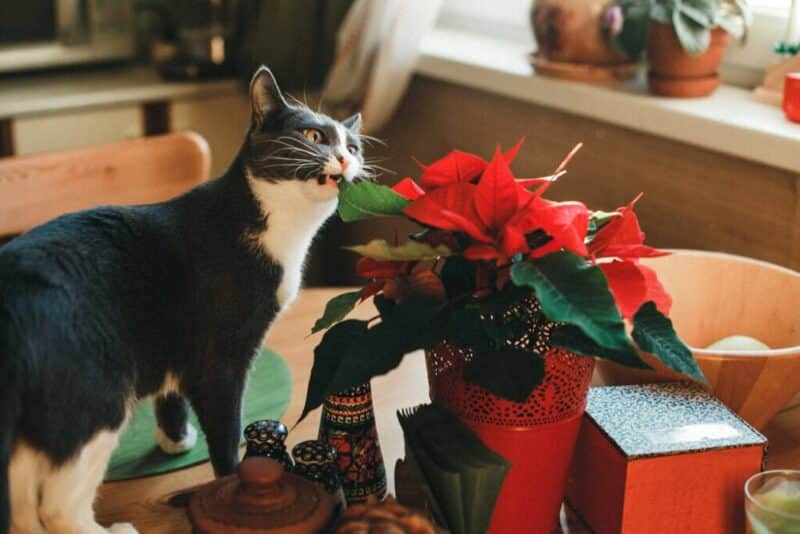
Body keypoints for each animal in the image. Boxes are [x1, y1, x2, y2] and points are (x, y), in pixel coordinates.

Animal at [0, 67, 362, 534]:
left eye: (353, 146)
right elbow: (225, 429)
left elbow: (171, 391)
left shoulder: (174, 337)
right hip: (95, 396)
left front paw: (175, 439)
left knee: (23, 507)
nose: (346, 159)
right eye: (314, 136)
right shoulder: (222, 356)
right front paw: (233, 487)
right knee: (57, 505)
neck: (275, 226)